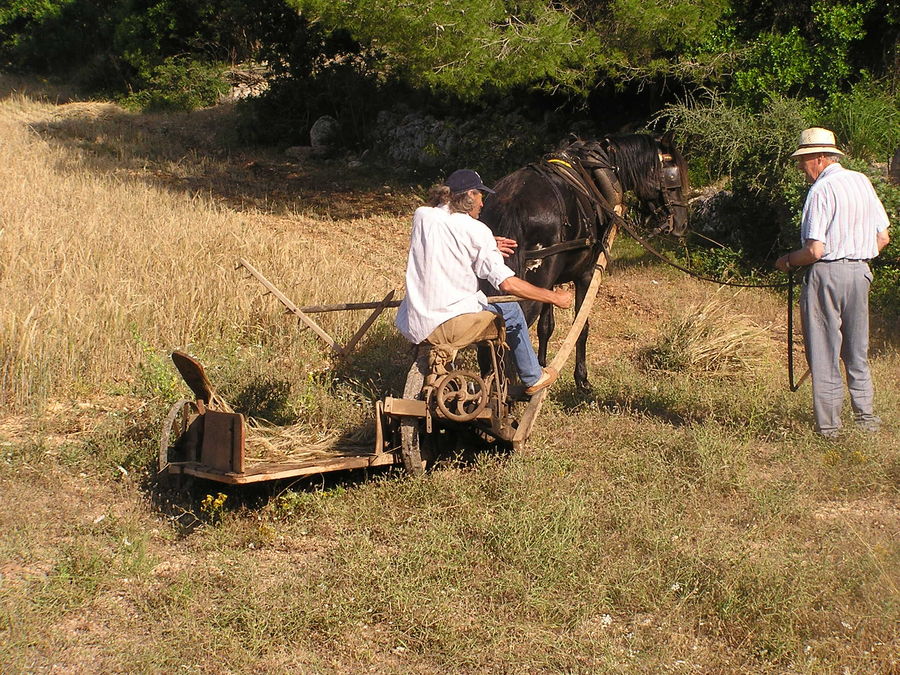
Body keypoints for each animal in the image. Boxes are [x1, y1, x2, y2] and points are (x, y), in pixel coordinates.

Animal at [486, 132, 688, 390]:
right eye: (673, 180)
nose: (682, 224)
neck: (600, 167)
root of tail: (512, 202)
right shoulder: (587, 274)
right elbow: (580, 326)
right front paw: (581, 379)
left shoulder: (551, 283)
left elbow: (546, 326)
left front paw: (543, 367)